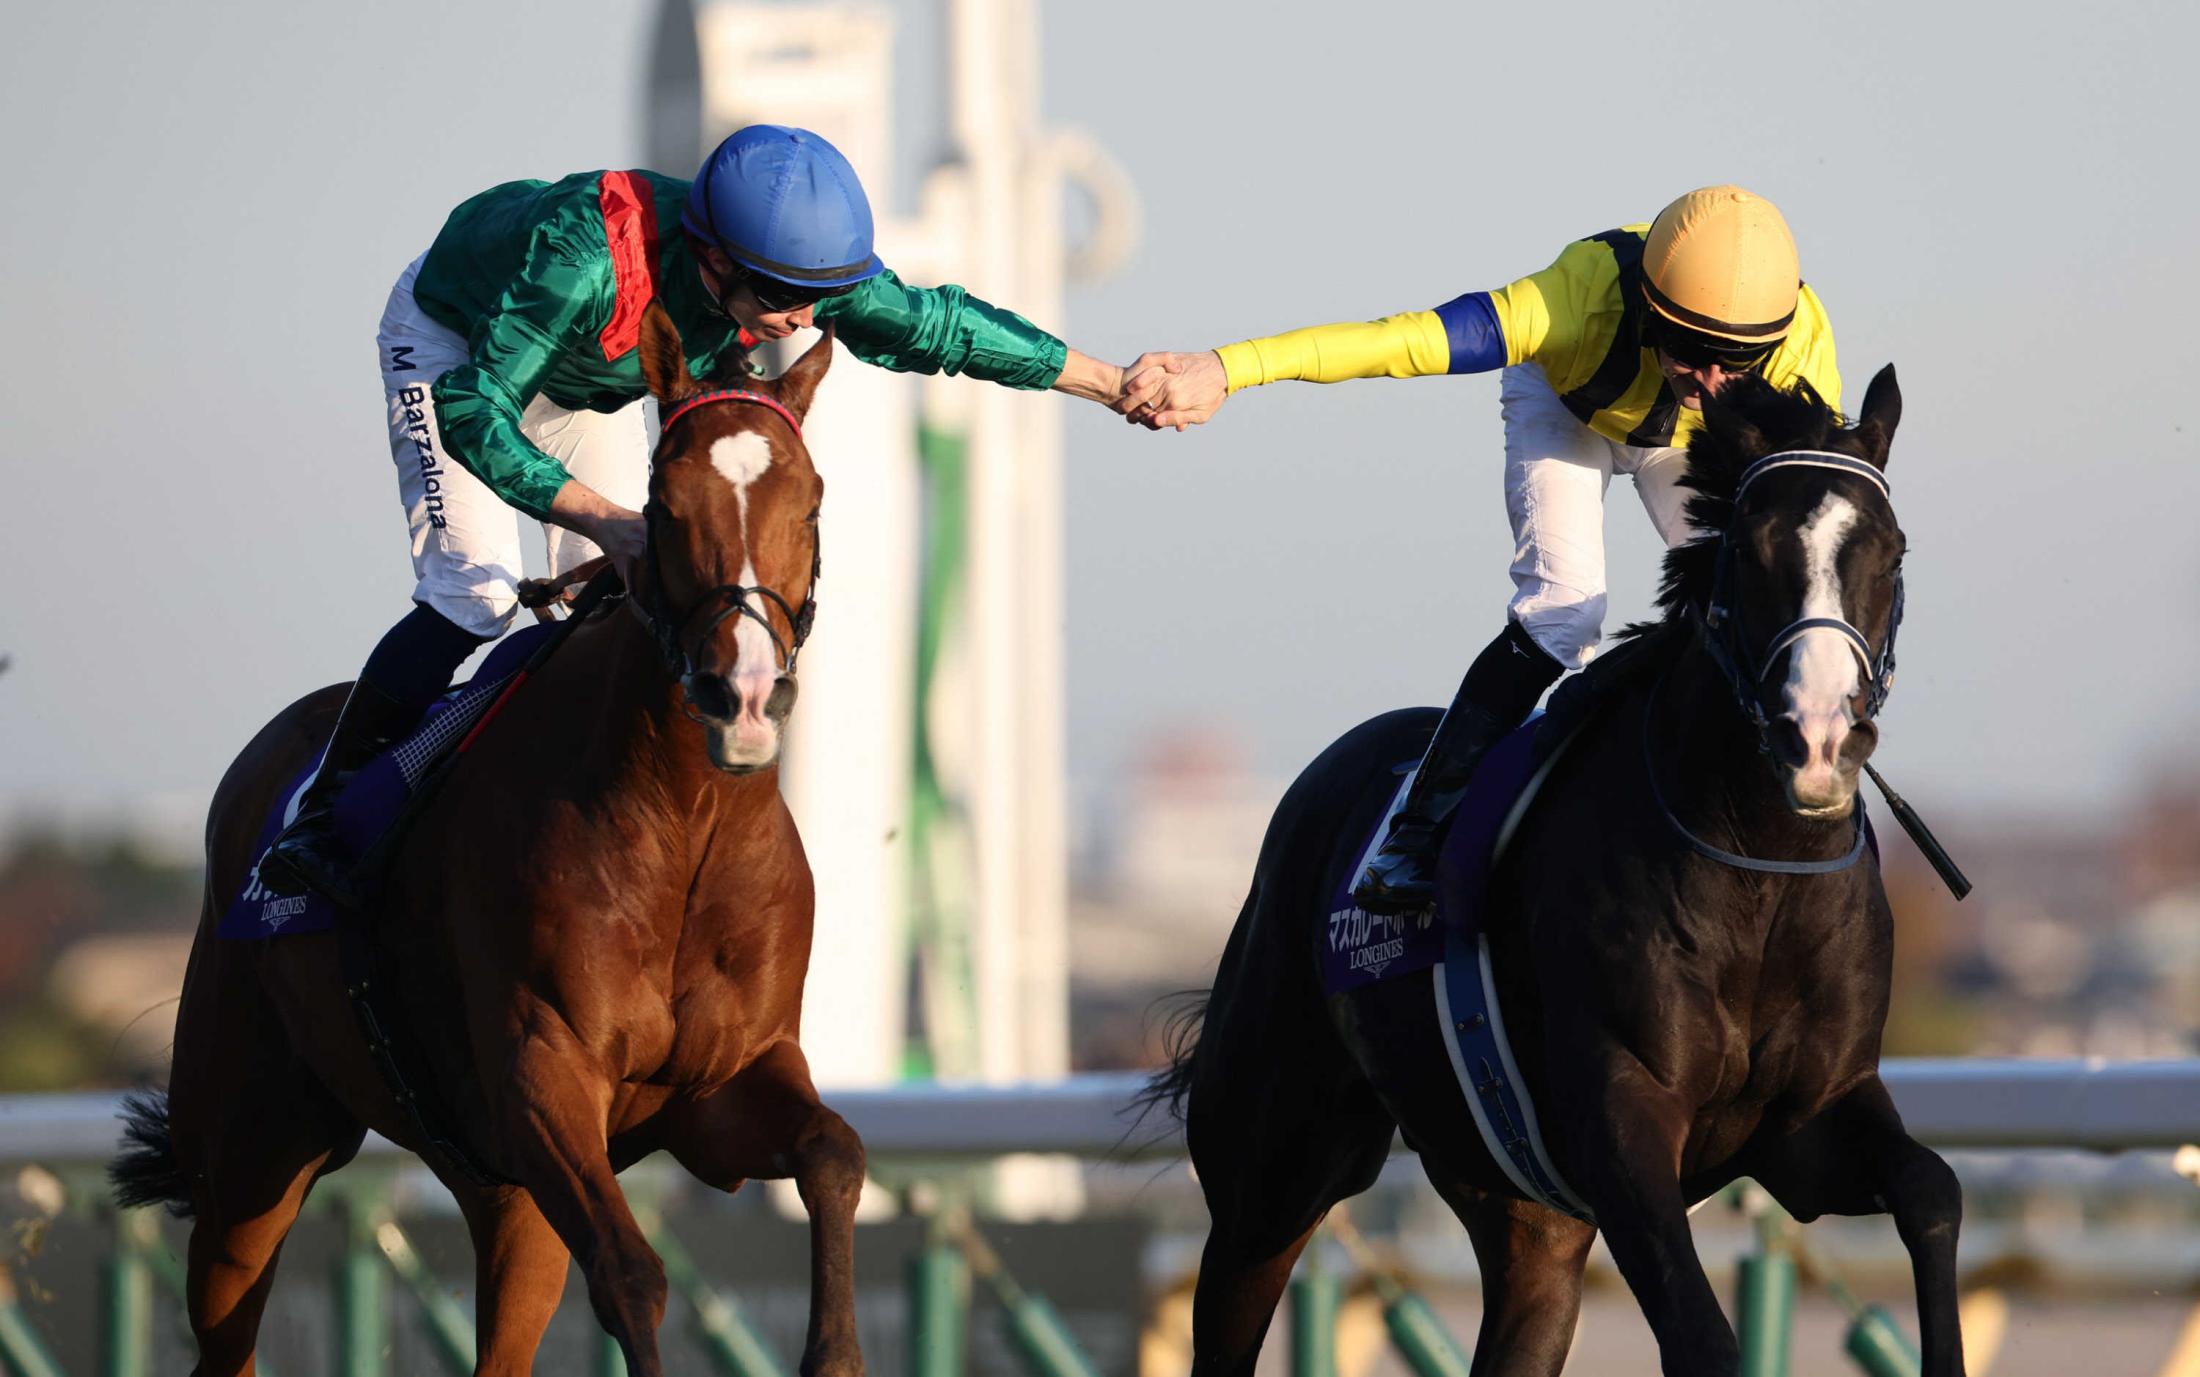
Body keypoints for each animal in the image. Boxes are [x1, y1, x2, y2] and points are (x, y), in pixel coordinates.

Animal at [109, 303, 865, 1377]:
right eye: (663, 508)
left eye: (810, 506)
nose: (744, 694)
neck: (682, 826)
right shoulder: (541, 1077)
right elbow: (633, 1273)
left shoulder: (721, 1084)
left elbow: (835, 1152)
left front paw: (832, 1350)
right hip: (250, 1151)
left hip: (498, 1193)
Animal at [1144, 366, 1962, 1377]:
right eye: (1752, 550)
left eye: (1890, 551)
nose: (1817, 740)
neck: (1761, 877)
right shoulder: (1618, 1124)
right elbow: (1703, 1333)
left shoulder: (1807, 1122)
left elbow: (1932, 1190)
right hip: (1272, 1166)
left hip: (1526, 1218)